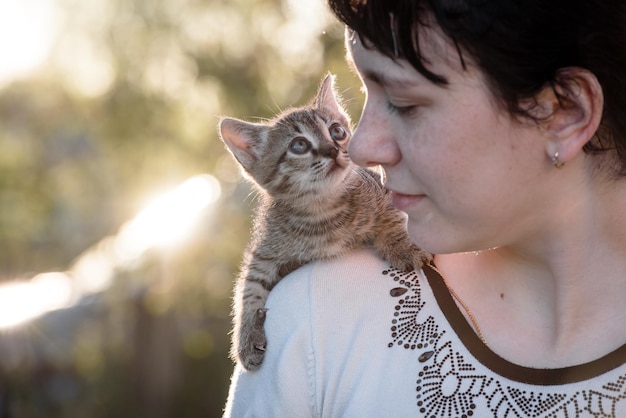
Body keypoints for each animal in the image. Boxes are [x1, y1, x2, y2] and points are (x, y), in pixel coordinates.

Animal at [218, 73, 428, 370]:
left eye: (337, 131)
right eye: (299, 145)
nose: (333, 149)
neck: (322, 212)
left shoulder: (381, 188)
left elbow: (392, 217)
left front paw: (403, 246)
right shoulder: (264, 252)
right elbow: (249, 288)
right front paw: (246, 337)